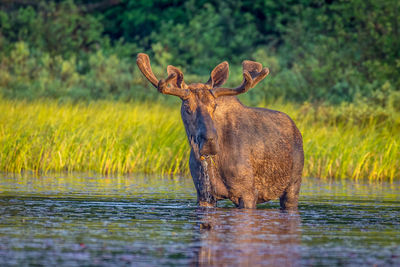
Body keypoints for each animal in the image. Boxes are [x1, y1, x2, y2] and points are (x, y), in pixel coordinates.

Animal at [137, 53, 304, 210]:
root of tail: (296, 129)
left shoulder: (248, 193)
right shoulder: (204, 194)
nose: (209, 142)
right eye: (187, 107)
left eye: (215, 105)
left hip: (293, 186)